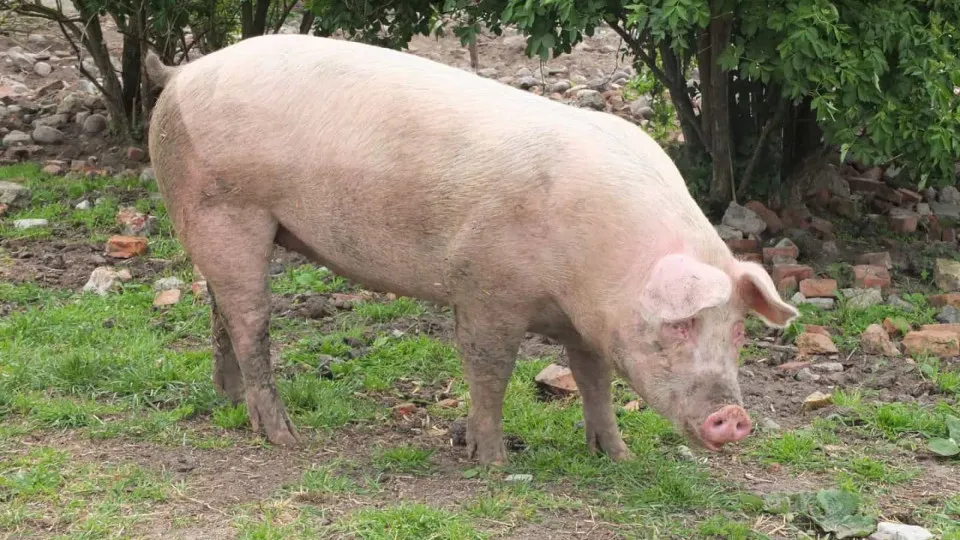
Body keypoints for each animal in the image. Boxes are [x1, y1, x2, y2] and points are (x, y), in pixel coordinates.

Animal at [144, 34, 798, 465]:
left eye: (737, 331)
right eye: (681, 325)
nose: (735, 416)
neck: (598, 265)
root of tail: (179, 74)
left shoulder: (587, 322)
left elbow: (594, 379)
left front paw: (618, 456)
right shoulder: (485, 287)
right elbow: (490, 368)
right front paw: (492, 461)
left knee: (221, 311)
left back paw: (229, 401)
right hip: (227, 210)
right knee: (251, 320)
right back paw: (284, 436)